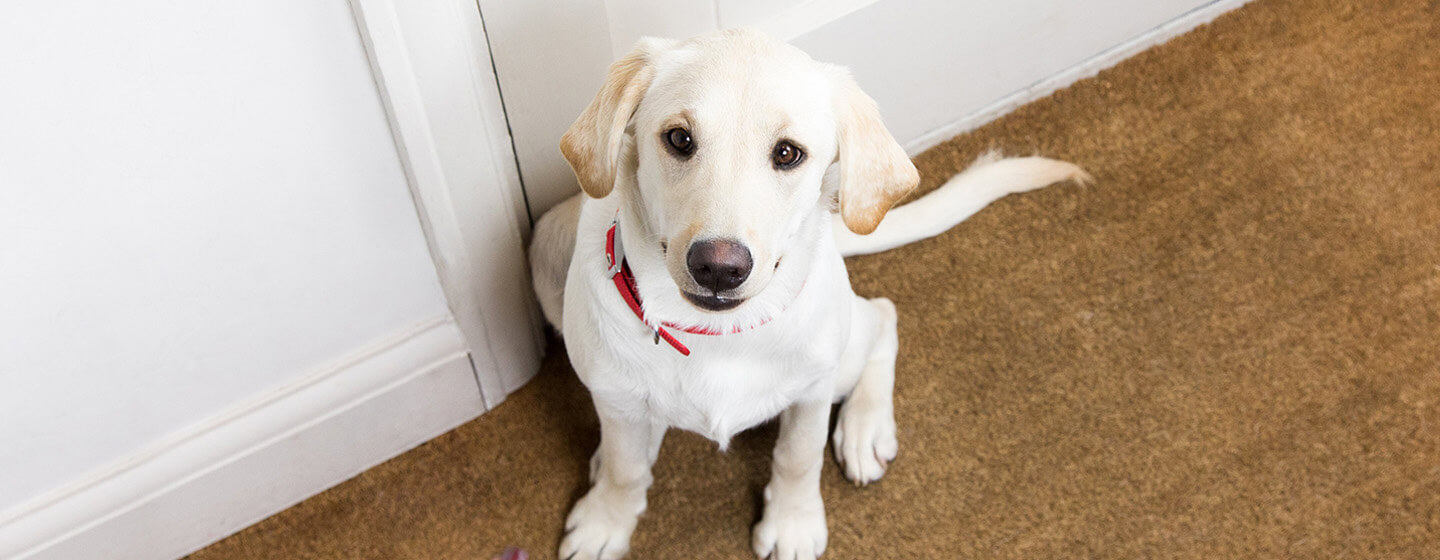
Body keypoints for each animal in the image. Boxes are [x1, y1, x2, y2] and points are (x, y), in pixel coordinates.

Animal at [532, 30, 1088, 558]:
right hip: (546, 252)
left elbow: (798, 457)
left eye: (787, 153)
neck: (717, 335)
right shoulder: (615, 395)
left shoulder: (812, 390)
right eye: (679, 138)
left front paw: (792, 525)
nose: (718, 268)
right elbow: (624, 469)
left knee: (882, 315)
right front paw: (607, 521)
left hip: (842, 352)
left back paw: (866, 428)